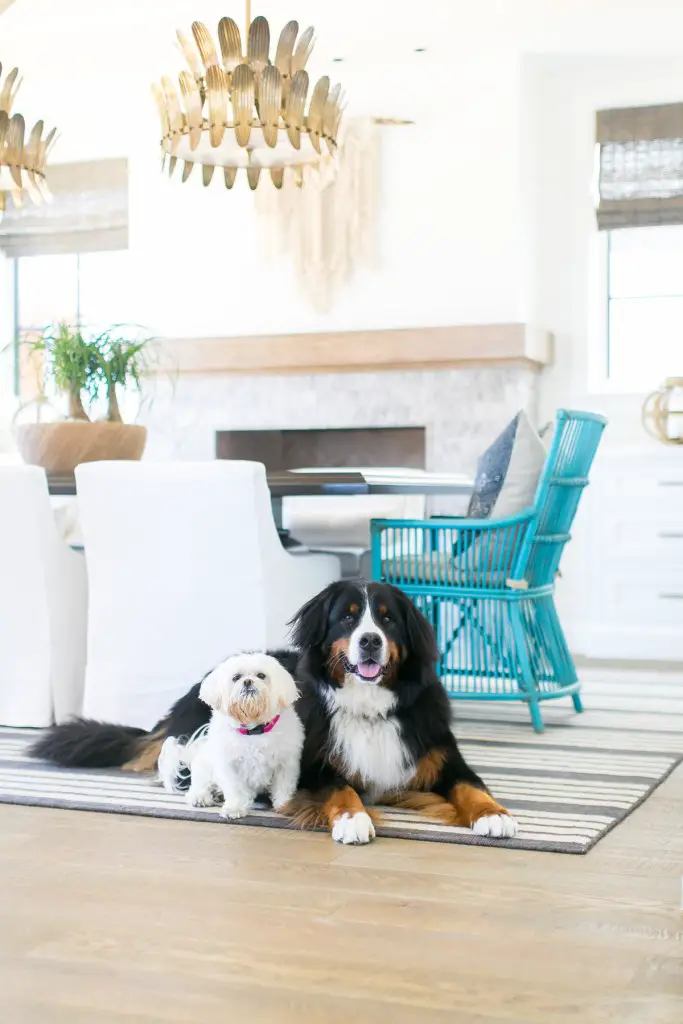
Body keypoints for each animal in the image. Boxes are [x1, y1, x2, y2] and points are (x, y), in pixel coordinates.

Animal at [158, 655, 303, 815]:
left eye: (261, 675)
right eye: (236, 677)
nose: (247, 681)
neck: (252, 731)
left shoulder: (285, 764)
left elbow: (283, 787)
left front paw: (285, 805)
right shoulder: (230, 766)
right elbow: (236, 789)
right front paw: (235, 808)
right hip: (204, 767)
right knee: (199, 785)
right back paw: (200, 797)